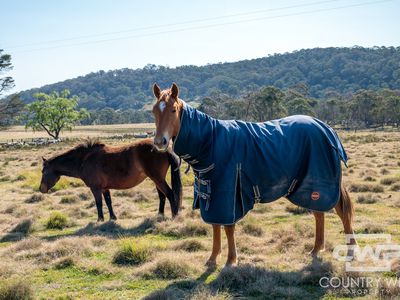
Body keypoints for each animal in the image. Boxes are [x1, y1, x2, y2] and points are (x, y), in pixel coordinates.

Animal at [39, 138, 181, 220]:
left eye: (43, 171)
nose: (41, 189)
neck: (84, 160)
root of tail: (164, 149)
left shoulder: (95, 188)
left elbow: (99, 203)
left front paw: (100, 219)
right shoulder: (104, 188)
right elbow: (108, 202)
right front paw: (113, 218)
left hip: (158, 179)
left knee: (169, 194)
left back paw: (174, 216)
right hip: (156, 180)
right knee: (162, 196)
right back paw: (160, 215)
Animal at [151, 82, 356, 268]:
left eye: (173, 110)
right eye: (154, 112)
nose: (160, 142)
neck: (210, 141)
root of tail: (325, 127)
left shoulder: (228, 193)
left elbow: (228, 227)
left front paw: (230, 260)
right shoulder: (211, 194)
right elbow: (215, 225)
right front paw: (213, 258)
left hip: (323, 184)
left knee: (340, 212)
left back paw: (351, 251)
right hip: (310, 187)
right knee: (319, 214)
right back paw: (316, 249)